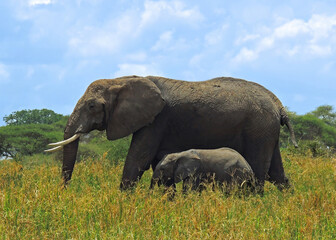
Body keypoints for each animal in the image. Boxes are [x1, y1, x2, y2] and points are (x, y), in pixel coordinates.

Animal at [46, 75, 298, 191]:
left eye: (91, 106)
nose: (66, 192)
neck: (123, 79)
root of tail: (278, 105)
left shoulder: (156, 121)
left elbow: (138, 160)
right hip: (266, 130)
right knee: (277, 174)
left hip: (258, 128)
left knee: (259, 172)